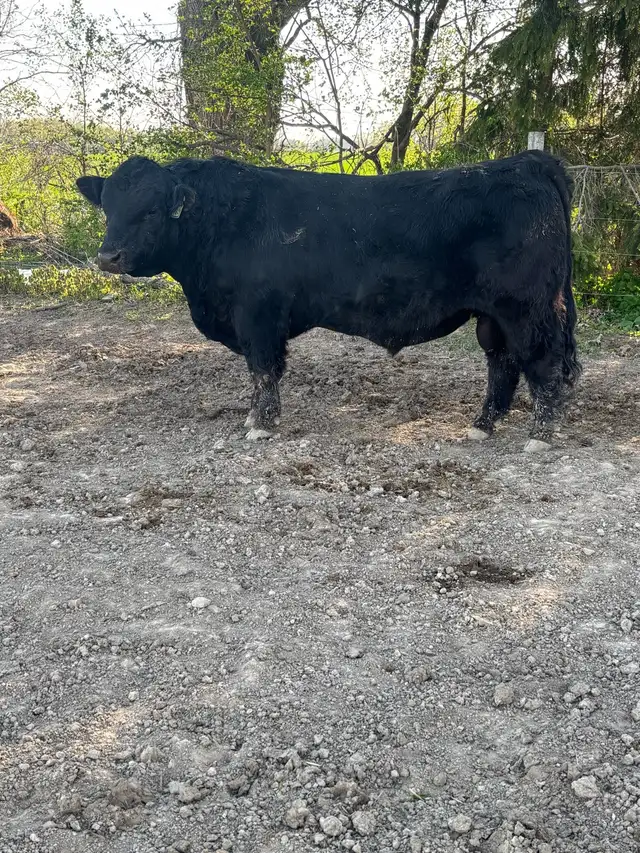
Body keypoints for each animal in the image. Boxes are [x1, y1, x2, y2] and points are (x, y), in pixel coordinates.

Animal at [76, 150, 581, 450]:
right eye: (108, 207)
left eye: (152, 210)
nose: (108, 256)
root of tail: (526, 162)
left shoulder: (258, 315)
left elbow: (263, 371)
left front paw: (260, 424)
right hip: (492, 315)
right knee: (503, 363)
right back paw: (482, 425)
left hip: (528, 308)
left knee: (543, 362)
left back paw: (541, 434)